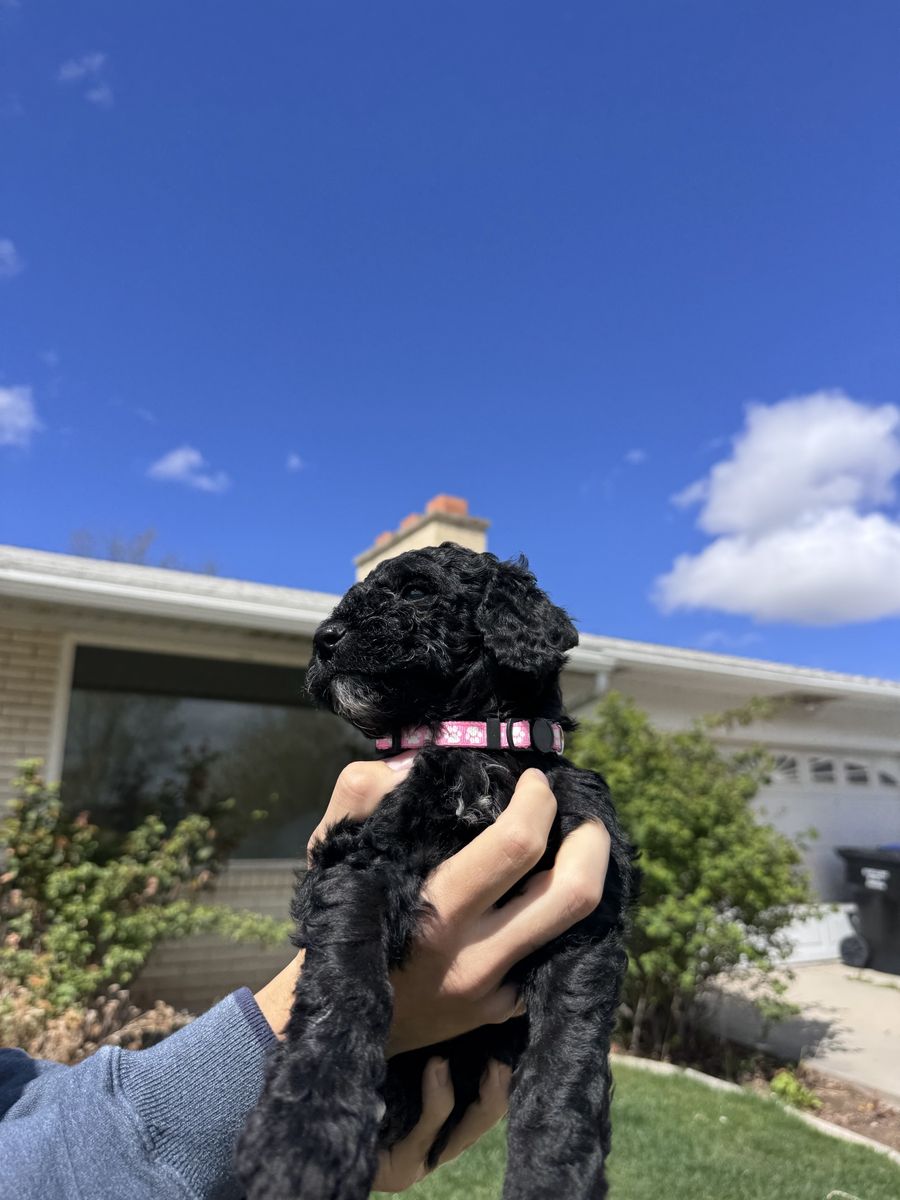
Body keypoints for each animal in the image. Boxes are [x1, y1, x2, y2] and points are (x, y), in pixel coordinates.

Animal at [238, 544, 635, 1199]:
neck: (479, 748)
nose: (324, 639)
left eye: (418, 591)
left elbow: (567, 1052)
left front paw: (552, 1173)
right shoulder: (362, 859)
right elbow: (346, 982)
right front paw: (305, 1135)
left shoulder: (587, 913)